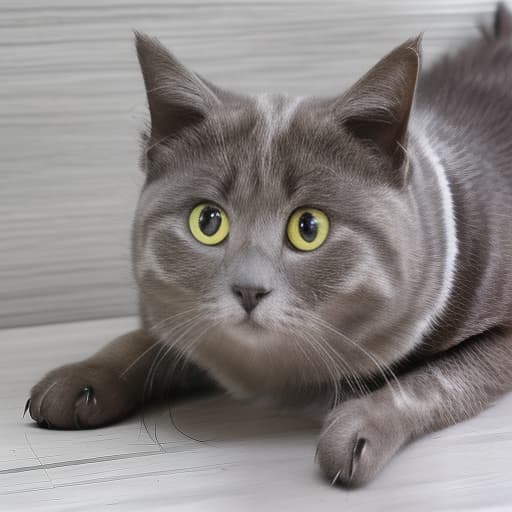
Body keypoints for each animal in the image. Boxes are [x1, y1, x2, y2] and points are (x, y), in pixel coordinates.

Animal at [27, 4, 512, 488]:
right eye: (208, 221)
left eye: (309, 227)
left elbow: (434, 380)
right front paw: (80, 378)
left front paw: (358, 430)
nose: (249, 289)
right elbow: (150, 337)